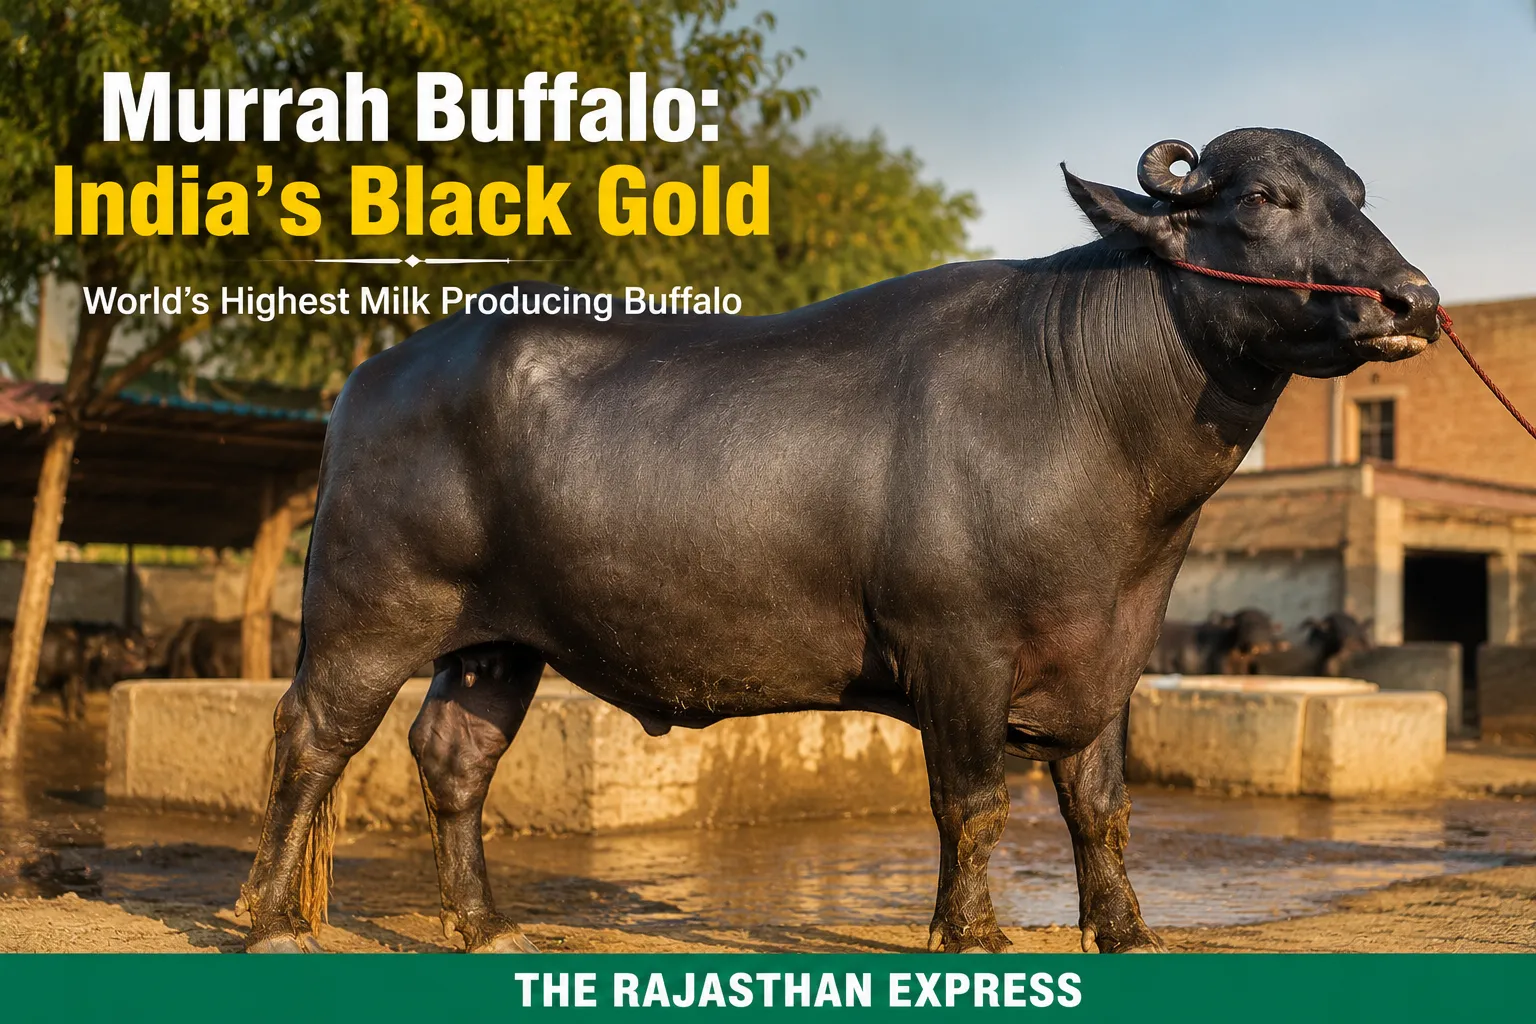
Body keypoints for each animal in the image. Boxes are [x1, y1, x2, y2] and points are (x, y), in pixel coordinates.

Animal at [238, 129, 1440, 953]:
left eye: (1359, 196)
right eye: (1268, 199)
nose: (1412, 299)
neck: (1092, 412)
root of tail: (371, 379)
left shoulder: (1110, 655)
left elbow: (1099, 806)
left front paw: (1127, 933)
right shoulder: (957, 651)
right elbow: (973, 805)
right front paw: (974, 935)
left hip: (496, 643)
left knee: (454, 757)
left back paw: (490, 927)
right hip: (367, 611)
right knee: (311, 738)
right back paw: (274, 923)